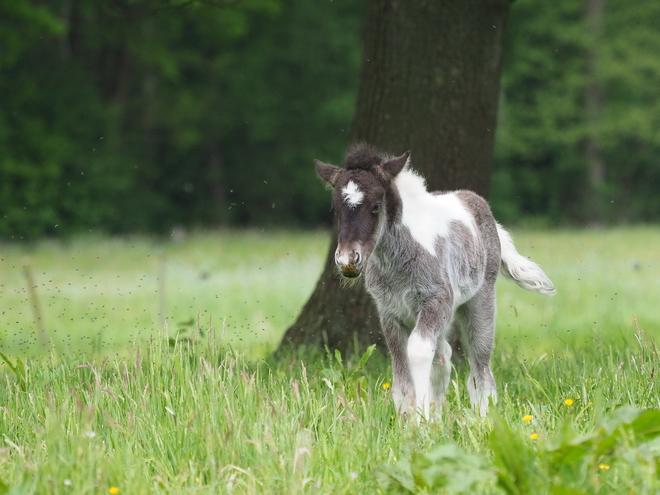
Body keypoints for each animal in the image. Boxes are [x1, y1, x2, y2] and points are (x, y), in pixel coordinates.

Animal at [318, 145, 556, 420]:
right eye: (335, 209)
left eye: (376, 206)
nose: (347, 260)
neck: (399, 261)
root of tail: (477, 203)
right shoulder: (388, 311)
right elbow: (401, 361)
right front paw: (408, 418)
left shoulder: (436, 300)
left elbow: (419, 351)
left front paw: (420, 418)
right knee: (444, 355)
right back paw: (439, 417)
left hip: (479, 299)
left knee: (480, 364)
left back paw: (482, 416)